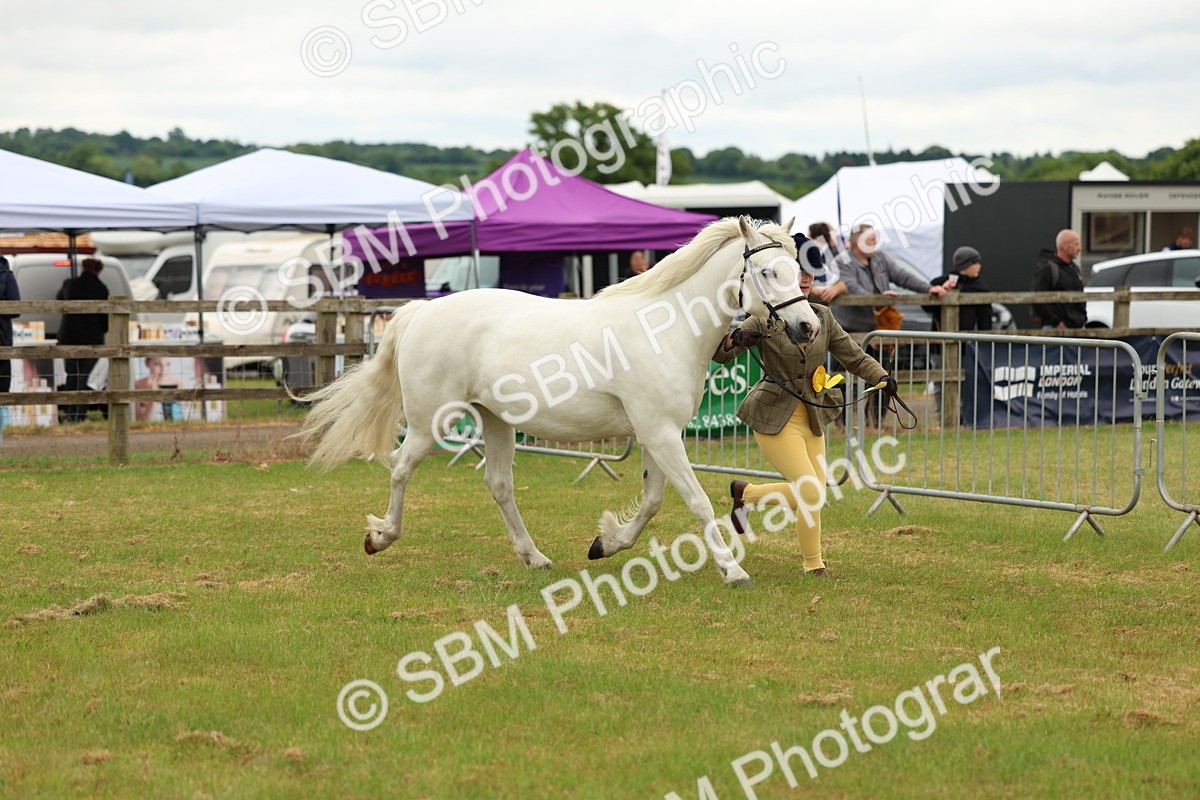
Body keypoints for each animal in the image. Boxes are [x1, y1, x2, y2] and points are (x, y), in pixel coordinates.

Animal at [296, 216, 820, 586]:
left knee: (499, 485)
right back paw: (381, 537)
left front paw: (605, 543)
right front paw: (733, 570)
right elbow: (697, 501)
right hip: (430, 423)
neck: (664, 327)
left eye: (798, 271)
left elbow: (652, 501)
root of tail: (421, 312)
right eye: (767, 271)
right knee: (401, 467)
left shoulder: (656, 433)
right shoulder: (659, 433)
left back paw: (535, 558)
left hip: (495, 421)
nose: (807, 327)